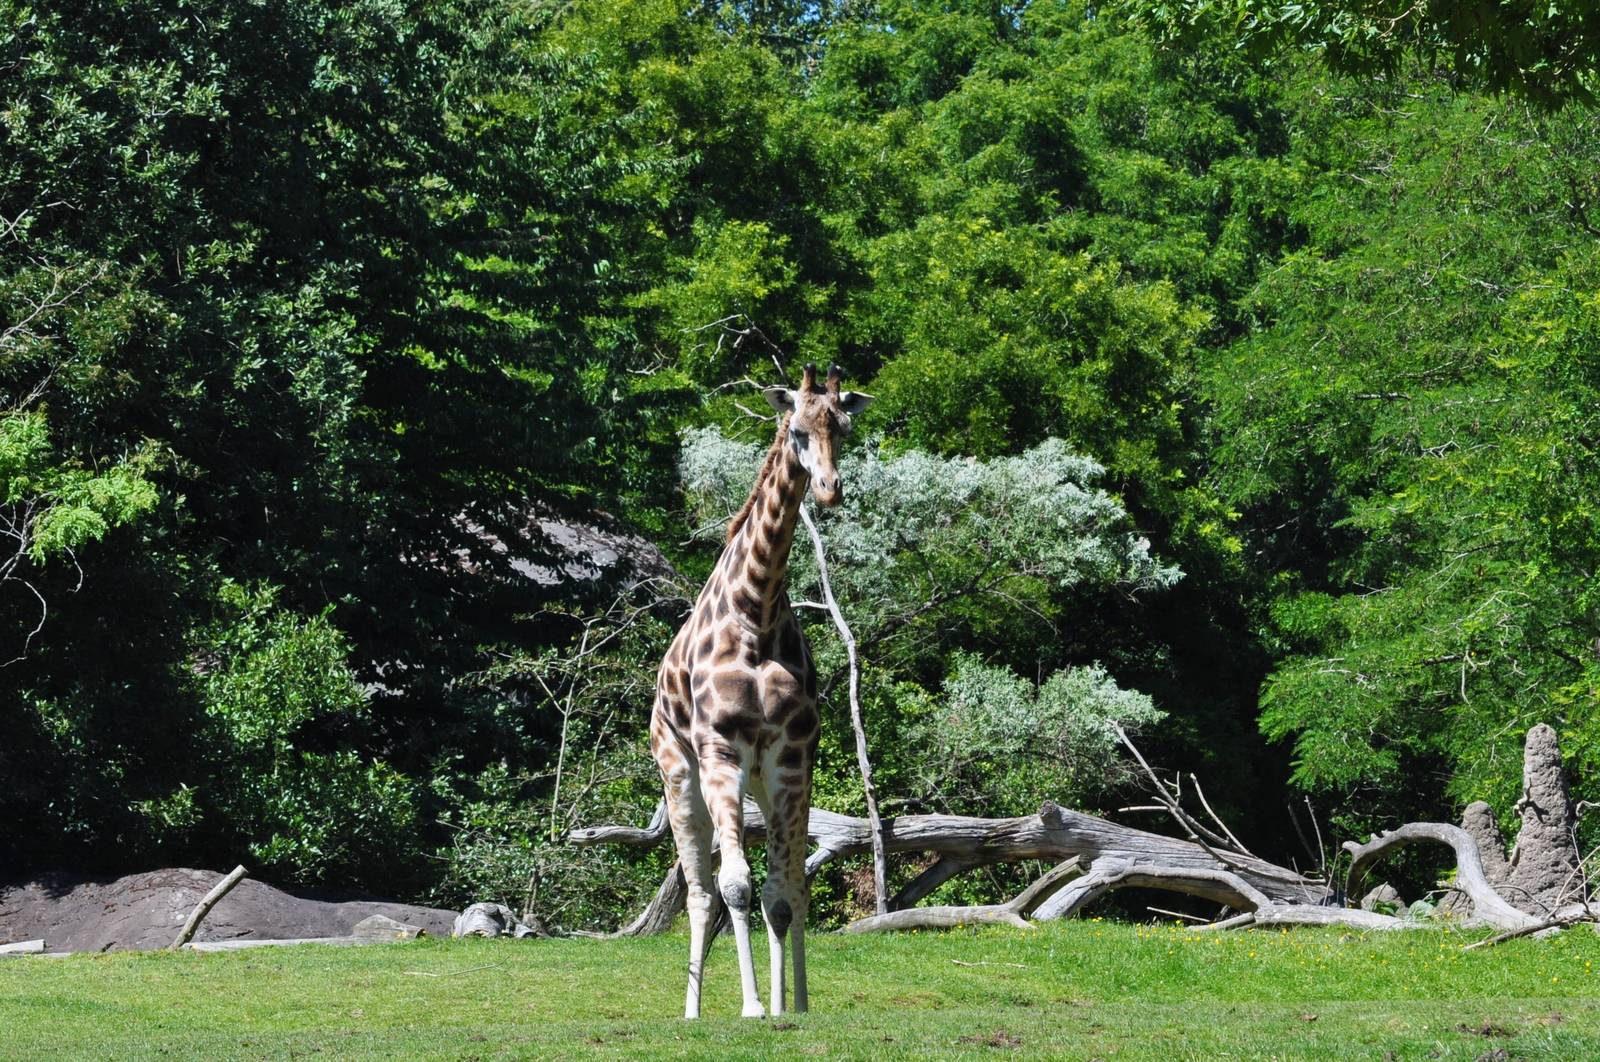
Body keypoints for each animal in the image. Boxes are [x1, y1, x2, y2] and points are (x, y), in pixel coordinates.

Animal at [650, 362, 872, 1020]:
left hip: (764, 784)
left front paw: (788, 1004)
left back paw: (780, 1000)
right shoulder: (720, 751)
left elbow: (782, 892)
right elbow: (736, 885)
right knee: (700, 890)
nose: (828, 488)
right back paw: (693, 1011)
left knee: (787, 885)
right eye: (796, 428)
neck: (758, 611)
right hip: (680, 773)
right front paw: (749, 1007)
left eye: (843, 427)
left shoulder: (790, 756)